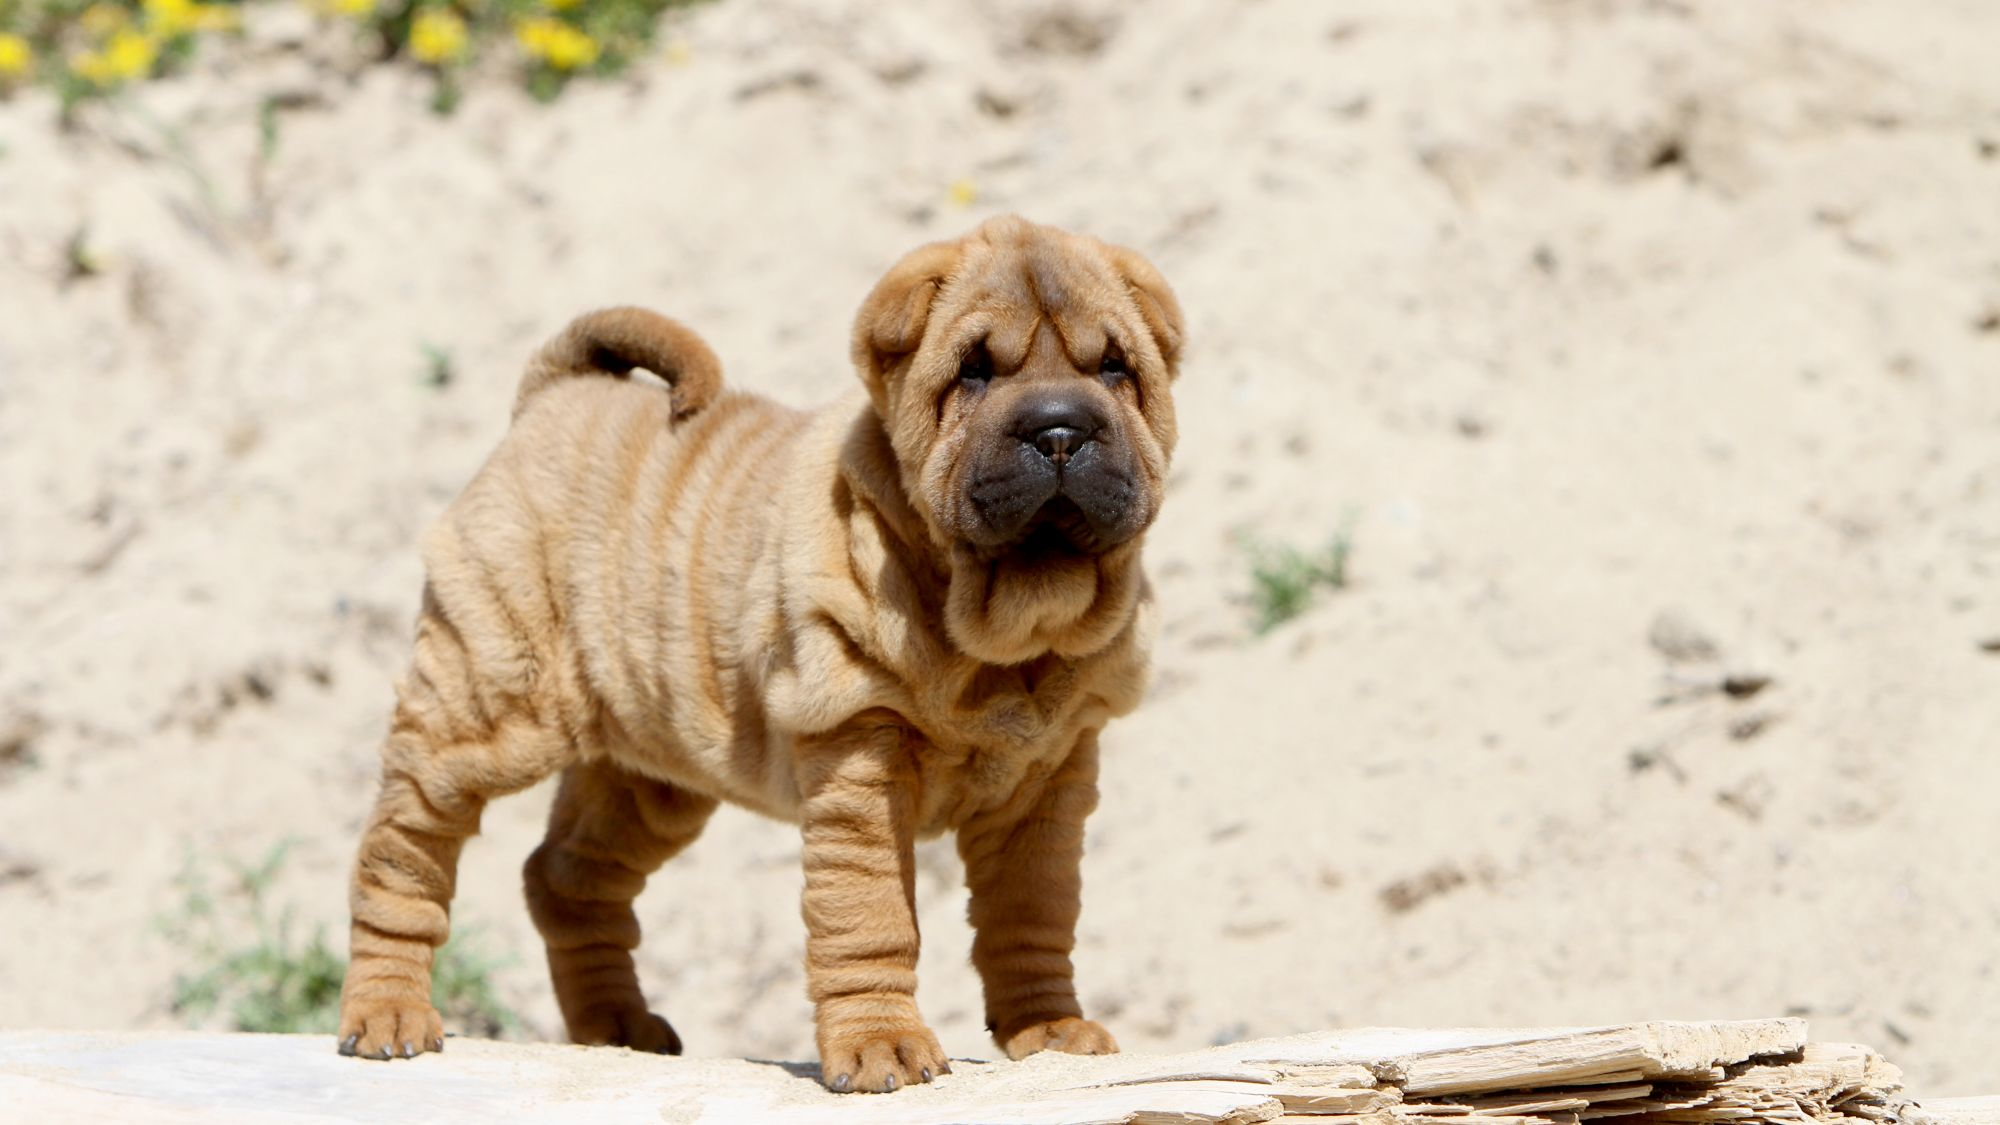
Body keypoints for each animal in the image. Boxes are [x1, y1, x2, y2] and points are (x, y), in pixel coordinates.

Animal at [338, 212, 1184, 1088]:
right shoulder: (859, 752)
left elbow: (1035, 910)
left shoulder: (1049, 777)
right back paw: (388, 1013)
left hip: (651, 777)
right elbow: (870, 913)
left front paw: (1050, 1029)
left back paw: (616, 1027)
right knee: (403, 853)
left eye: (1115, 367)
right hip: (484, 704)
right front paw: (883, 1045)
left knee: (565, 877)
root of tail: (551, 397)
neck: (1006, 633)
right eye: (974, 372)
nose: (1060, 427)